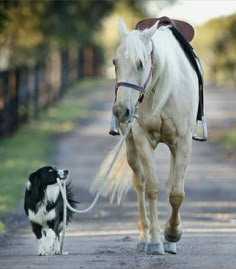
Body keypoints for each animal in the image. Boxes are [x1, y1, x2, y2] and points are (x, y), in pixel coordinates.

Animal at [92, 18, 199, 253]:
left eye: (141, 64)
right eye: (114, 62)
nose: (121, 111)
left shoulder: (183, 143)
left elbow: (176, 193)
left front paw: (172, 233)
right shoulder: (142, 140)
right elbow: (151, 188)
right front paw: (156, 240)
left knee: (170, 184)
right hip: (131, 147)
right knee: (139, 183)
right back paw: (145, 237)